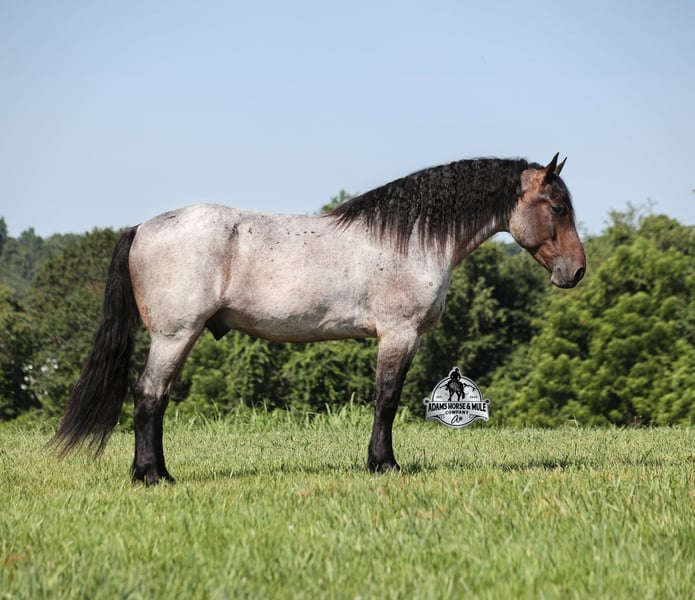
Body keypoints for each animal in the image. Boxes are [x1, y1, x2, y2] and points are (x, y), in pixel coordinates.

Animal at [52, 153, 585, 485]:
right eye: (557, 206)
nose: (576, 271)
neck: (412, 239)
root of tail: (142, 227)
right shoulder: (398, 334)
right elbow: (386, 400)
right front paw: (383, 465)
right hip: (174, 336)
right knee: (148, 396)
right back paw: (151, 476)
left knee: (156, 399)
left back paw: (157, 472)